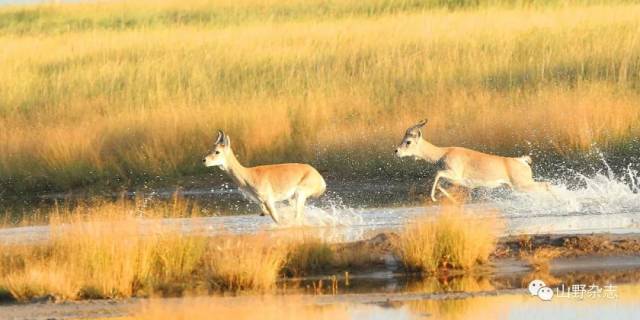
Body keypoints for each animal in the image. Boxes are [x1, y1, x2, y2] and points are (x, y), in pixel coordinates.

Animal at [396, 119, 552, 201]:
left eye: (408, 141)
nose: (396, 151)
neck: (443, 153)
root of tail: (521, 160)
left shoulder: (455, 176)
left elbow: (436, 175)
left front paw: (434, 198)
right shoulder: (453, 179)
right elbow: (440, 182)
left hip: (523, 185)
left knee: (546, 185)